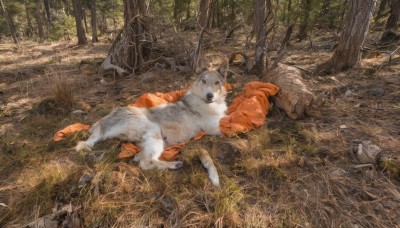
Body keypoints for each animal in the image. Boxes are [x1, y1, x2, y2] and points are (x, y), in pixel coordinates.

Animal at [73, 61, 227, 187]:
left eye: (217, 82)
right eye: (204, 81)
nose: (210, 96)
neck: (203, 100)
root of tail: (103, 121)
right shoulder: (214, 127)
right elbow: (228, 121)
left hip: (145, 142)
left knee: (143, 161)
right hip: (154, 131)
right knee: (146, 162)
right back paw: (174, 164)